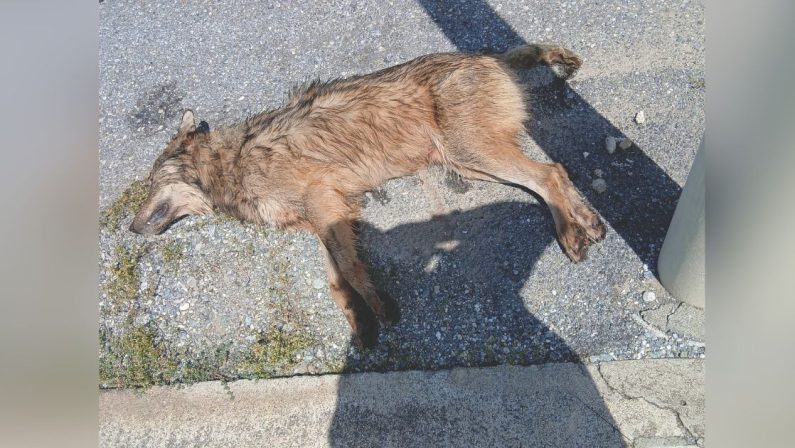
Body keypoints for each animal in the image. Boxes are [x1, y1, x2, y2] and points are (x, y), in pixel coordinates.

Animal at [129, 44, 606, 348]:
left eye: (151, 183)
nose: (131, 228)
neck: (230, 164)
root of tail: (490, 56)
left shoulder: (322, 199)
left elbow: (349, 271)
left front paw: (380, 308)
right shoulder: (323, 216)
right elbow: (336, 280)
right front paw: (360, 321)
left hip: (472, 152)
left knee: (550, 173)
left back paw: (572, 234)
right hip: (467, 162)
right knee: (552, 177)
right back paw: (589, 222)